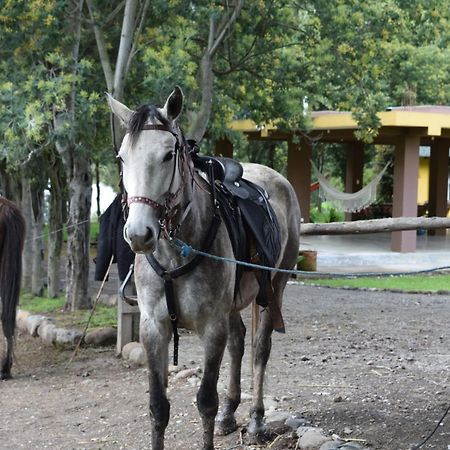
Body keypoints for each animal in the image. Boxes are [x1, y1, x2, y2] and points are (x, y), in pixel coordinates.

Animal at [107, 88, 300, 450]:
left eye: (169, 155)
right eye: (122, 158)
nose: (139, 234)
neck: (176, 253)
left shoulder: (212, 327)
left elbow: (206, 401)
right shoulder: (153, 328)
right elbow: (158, 406)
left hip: (274, 289)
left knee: (259, 350)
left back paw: (256, 420)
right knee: (239, 341)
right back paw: (229, 414)